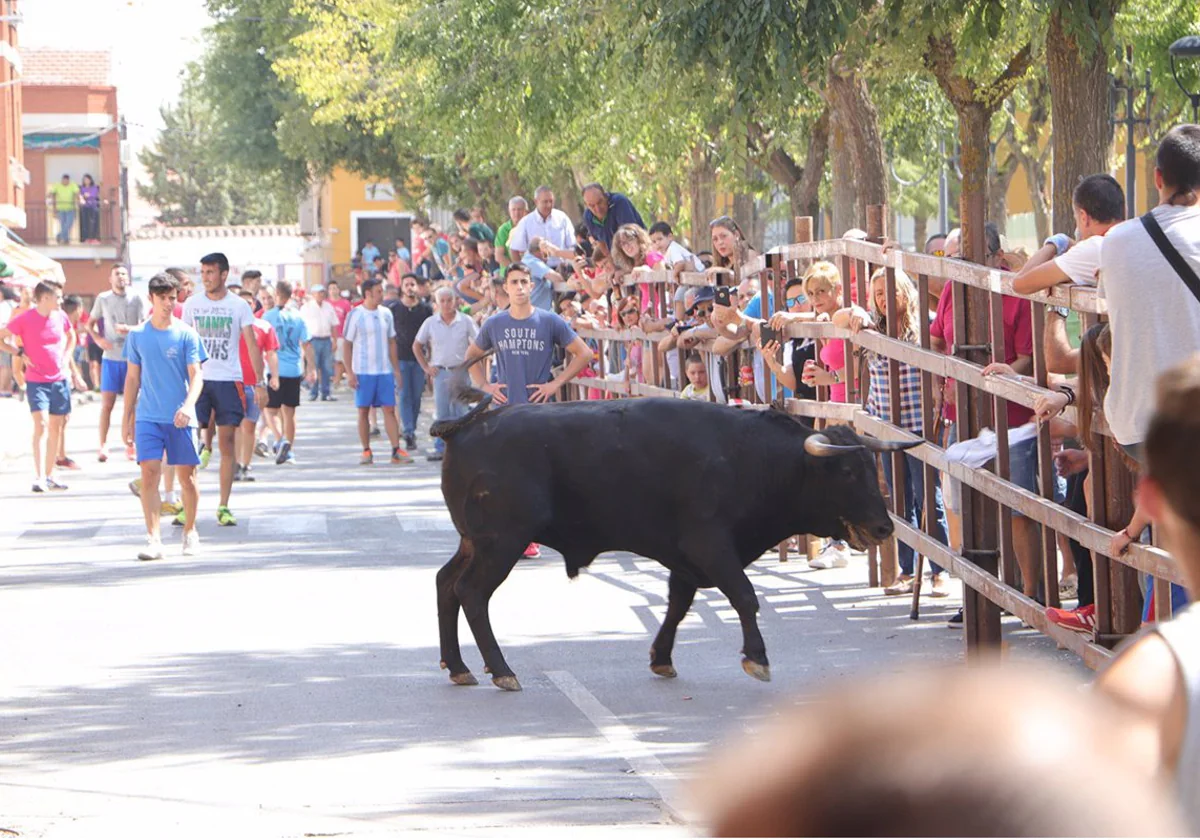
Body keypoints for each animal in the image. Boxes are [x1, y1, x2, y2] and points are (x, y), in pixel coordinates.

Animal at [432, 396, 916, 691]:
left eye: (871, 467)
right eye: (847, 473)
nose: (883, 528)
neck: (749, 457)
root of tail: (466, 426)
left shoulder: (686, 559)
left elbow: (678, 605)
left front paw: (661, 658)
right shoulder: (710, 545)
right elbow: (744, 595)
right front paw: (757, 658)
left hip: (475, 542)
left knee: (445, 584)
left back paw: (458, 667)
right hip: (502, 541)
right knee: (471, 593)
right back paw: (501, 671)